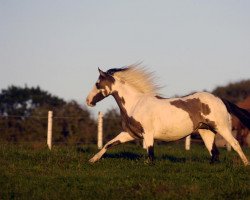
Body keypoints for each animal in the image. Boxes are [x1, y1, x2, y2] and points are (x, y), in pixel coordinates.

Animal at [85, 64, 250, 166]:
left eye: (97, 84)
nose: (88, 101)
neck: (136, 103)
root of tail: (220, 99)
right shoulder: (130, 134)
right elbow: (108, 144)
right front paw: (92, 160)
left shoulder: (148, 134)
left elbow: (150, 155)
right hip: (206, 131)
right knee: (214, 153)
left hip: (222, 128)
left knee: (235, 144)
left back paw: (246, 164)